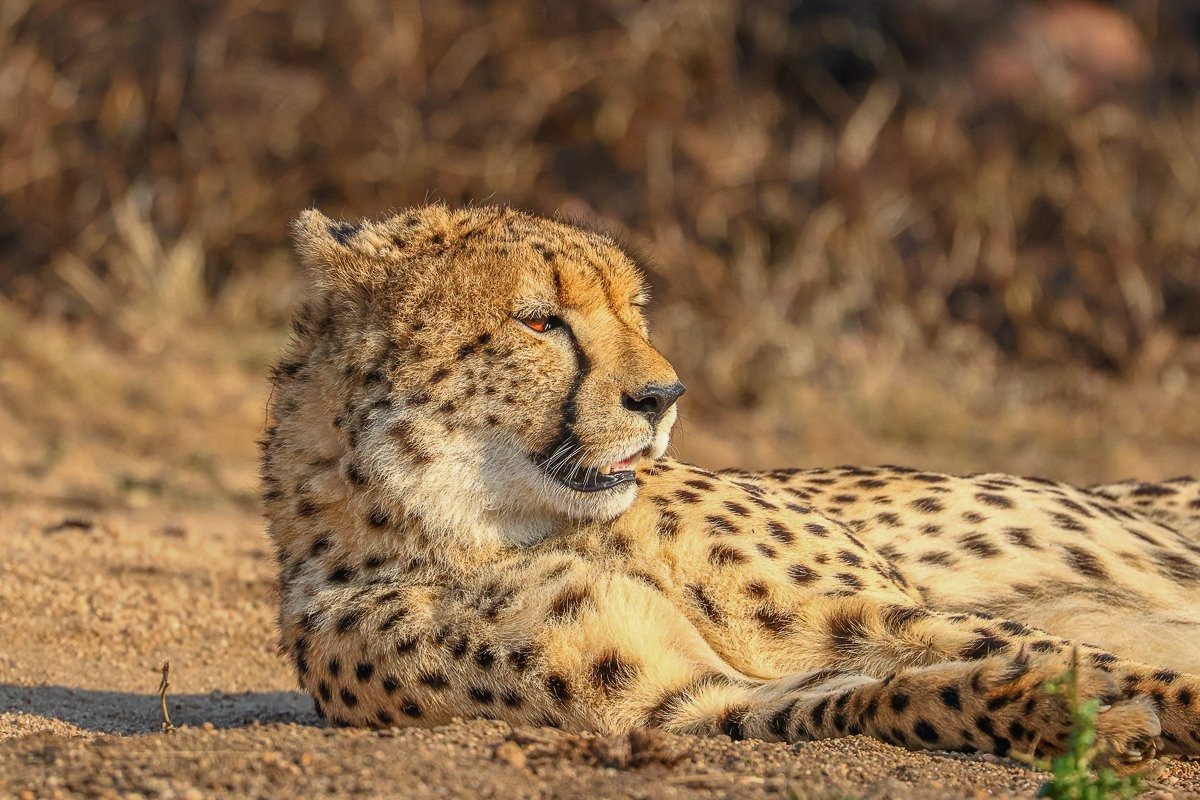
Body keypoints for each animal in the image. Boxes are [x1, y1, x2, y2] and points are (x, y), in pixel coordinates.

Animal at [260, 203, 1200, 768]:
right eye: (538, 321)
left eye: (634, 309)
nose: (662, 396)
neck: (472, 523)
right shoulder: (681, 708)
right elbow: (892, 696)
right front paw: (1078, 718)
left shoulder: (876, 611)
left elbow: (1065, 649)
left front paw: (1141, 702)